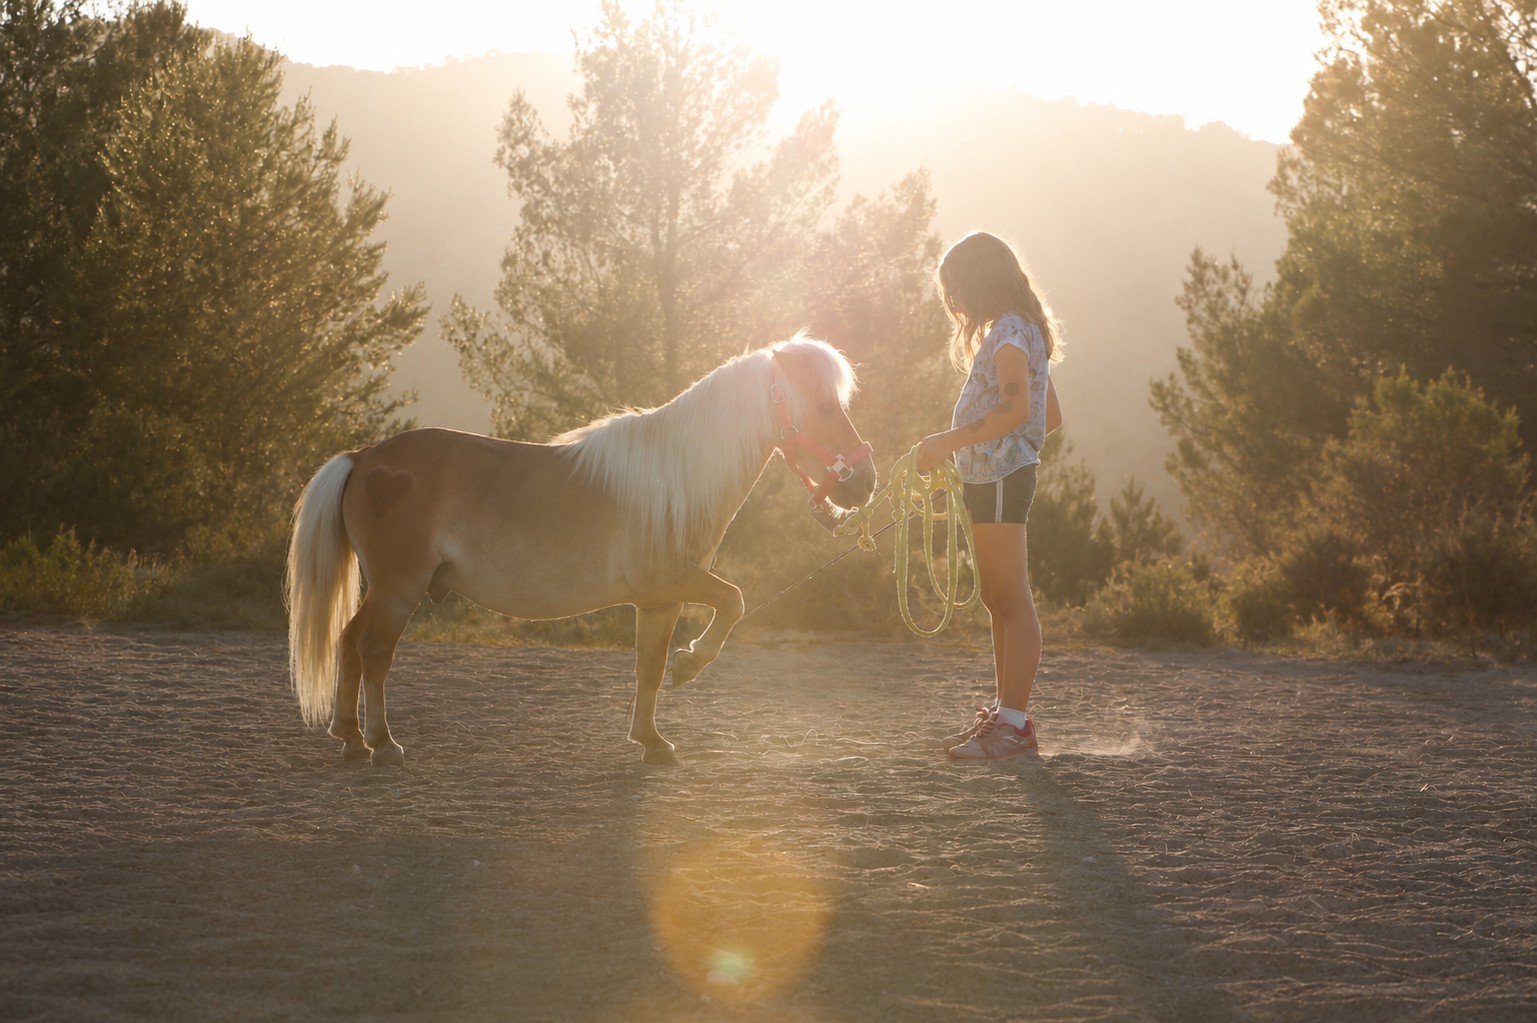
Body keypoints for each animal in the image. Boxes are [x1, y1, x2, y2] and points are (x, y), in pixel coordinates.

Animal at [284, 335, 877, 766]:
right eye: (824, 405)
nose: (866, 482)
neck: (676, 479)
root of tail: (364, 456)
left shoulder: (659, 601)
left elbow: (649, 668)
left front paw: (651, 742)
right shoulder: (673, 584)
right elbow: (734, 602)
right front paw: (691, 666)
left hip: (385, 590)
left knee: (348, 641)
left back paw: (350, 736)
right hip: (398, 589)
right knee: (374, 652)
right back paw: (382, 743)